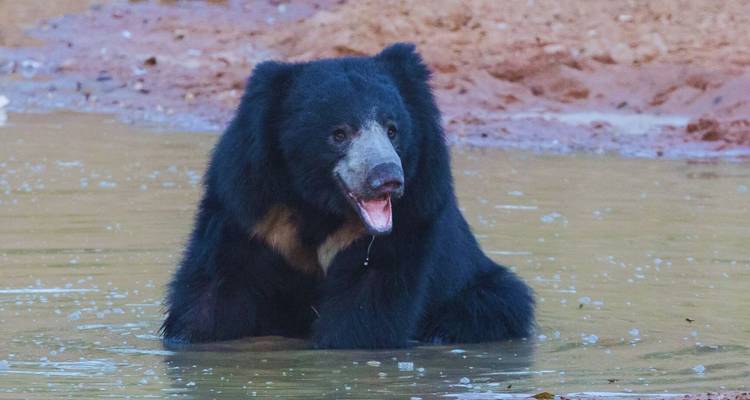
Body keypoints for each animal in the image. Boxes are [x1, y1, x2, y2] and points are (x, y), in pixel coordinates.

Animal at [161, 43, 534, 349]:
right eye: (339, 134)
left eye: (392, 129)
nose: (387, 178)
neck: (319, 204)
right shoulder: (251, 206)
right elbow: (216, 288)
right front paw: (191, 337)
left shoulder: (413, 210)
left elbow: (367, 307)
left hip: (475, 288)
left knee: (499, 303)